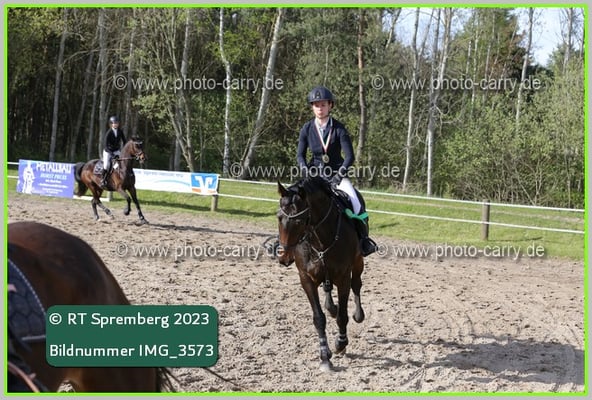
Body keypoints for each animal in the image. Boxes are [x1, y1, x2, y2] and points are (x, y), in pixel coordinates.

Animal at [276, 176, 365, 372]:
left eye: (300, 221)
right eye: (279, 217)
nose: (284, 257)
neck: (320, 239)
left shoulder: (343, 278)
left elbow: (342, 316)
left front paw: (340, 343)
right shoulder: (306, 279)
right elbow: (319, 318)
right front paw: (325, 357)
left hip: (358, 262)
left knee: (357, 284)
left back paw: (358, 315)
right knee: (327, 288)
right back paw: (330, 307)